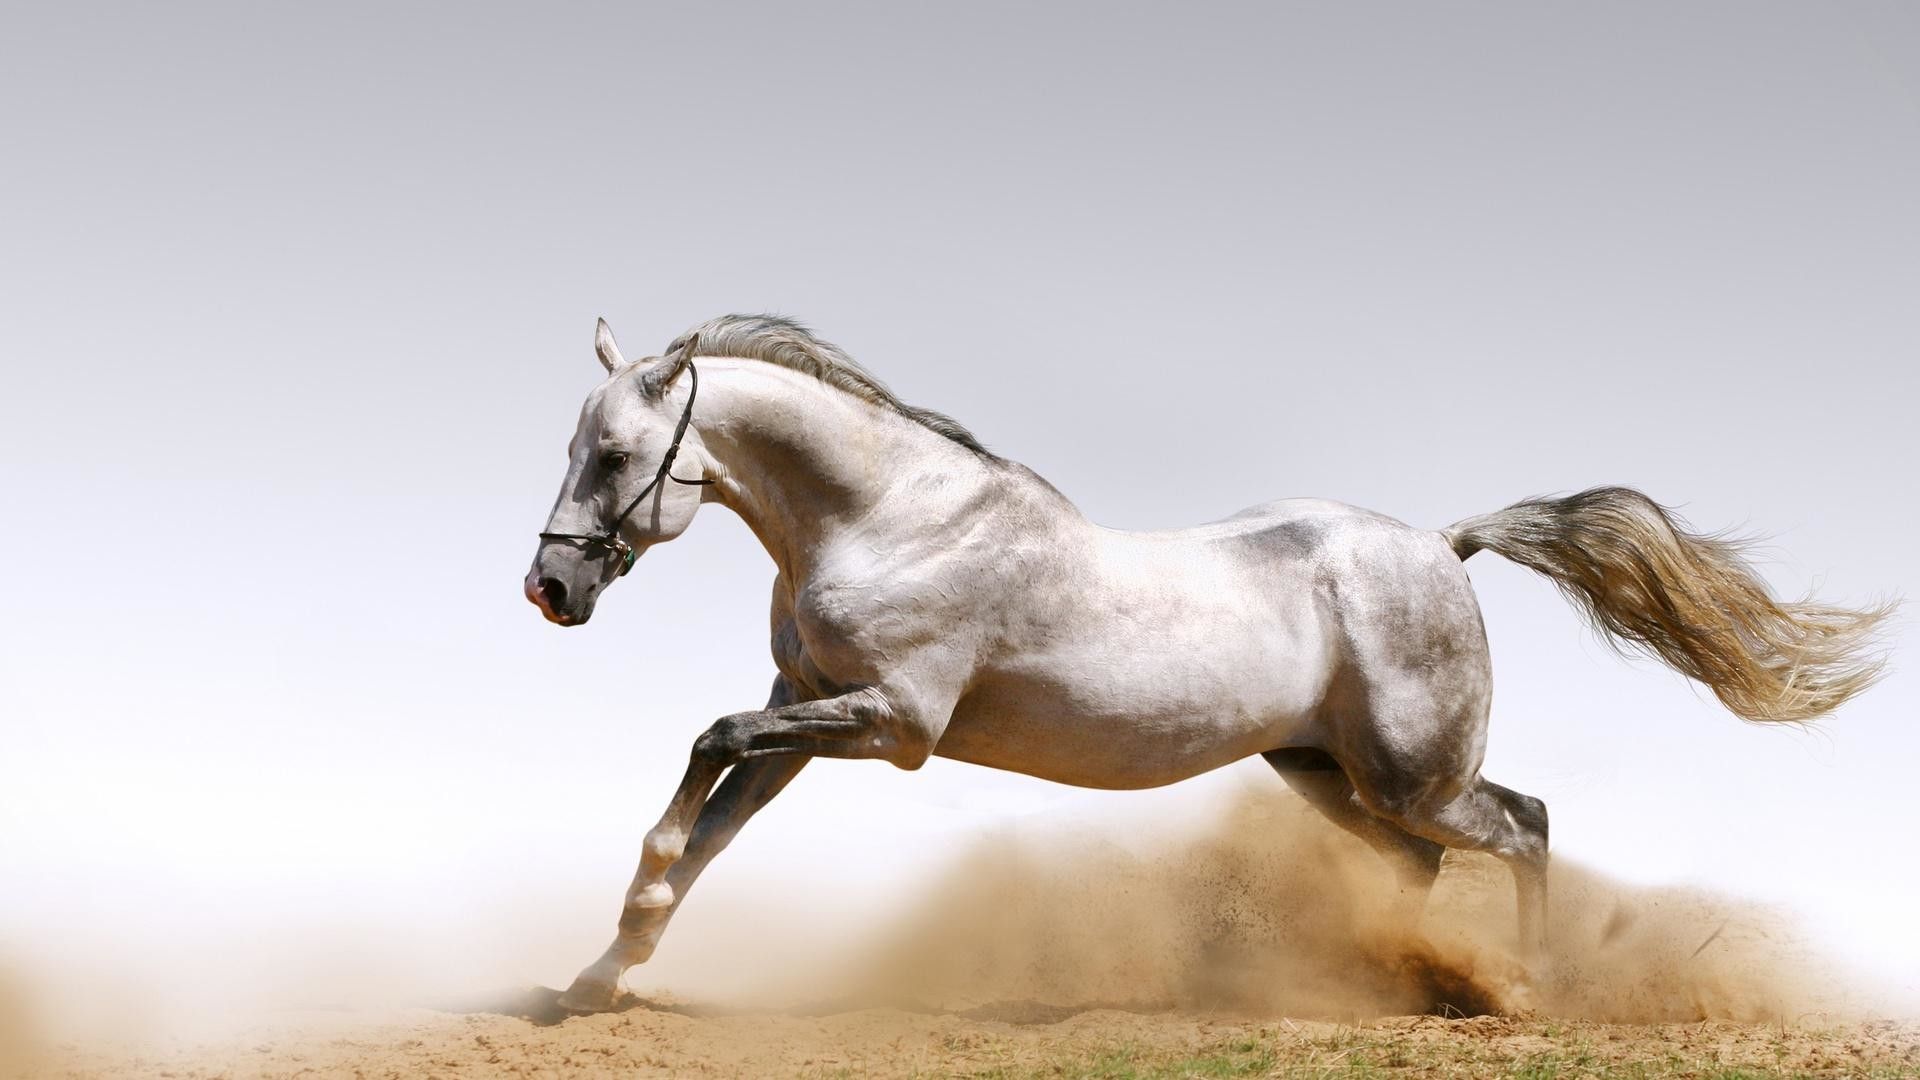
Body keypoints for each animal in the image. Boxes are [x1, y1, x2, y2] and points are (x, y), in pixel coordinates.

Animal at [525, 314, 1889, 1013]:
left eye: (616, 455)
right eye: (579, 446)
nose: (550, 590)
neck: (889, 517)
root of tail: (1443, 545)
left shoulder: (891, 724)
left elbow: (704, 752)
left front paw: (613, 942)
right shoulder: (806, 704)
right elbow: (710, 828)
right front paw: (597, 975)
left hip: (1415, 773)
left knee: (1526, 825)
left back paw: (1525, 989)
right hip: (1322, 772)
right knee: (1423, 863)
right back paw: (1389, 982)